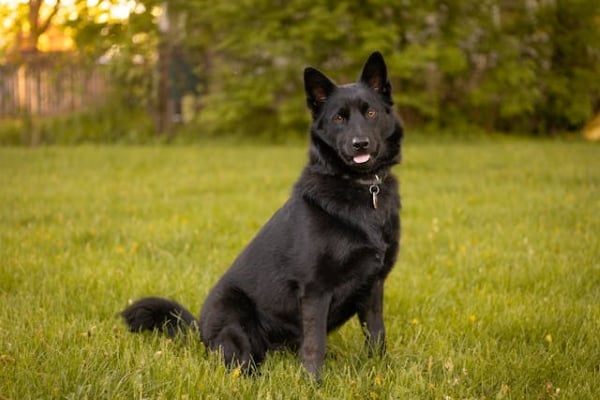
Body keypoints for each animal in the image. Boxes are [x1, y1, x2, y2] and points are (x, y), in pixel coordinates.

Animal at [120, 51, 404, 380]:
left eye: (371, 113)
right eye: (338, 118)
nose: (360, 144)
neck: (361, 187)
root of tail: (199, 330)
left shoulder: (373, 285)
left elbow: (377, 333)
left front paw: (380, 370)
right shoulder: (315, 290)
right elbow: (315, 344)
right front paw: (312, 382)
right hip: (235, 316)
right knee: (239, 361)